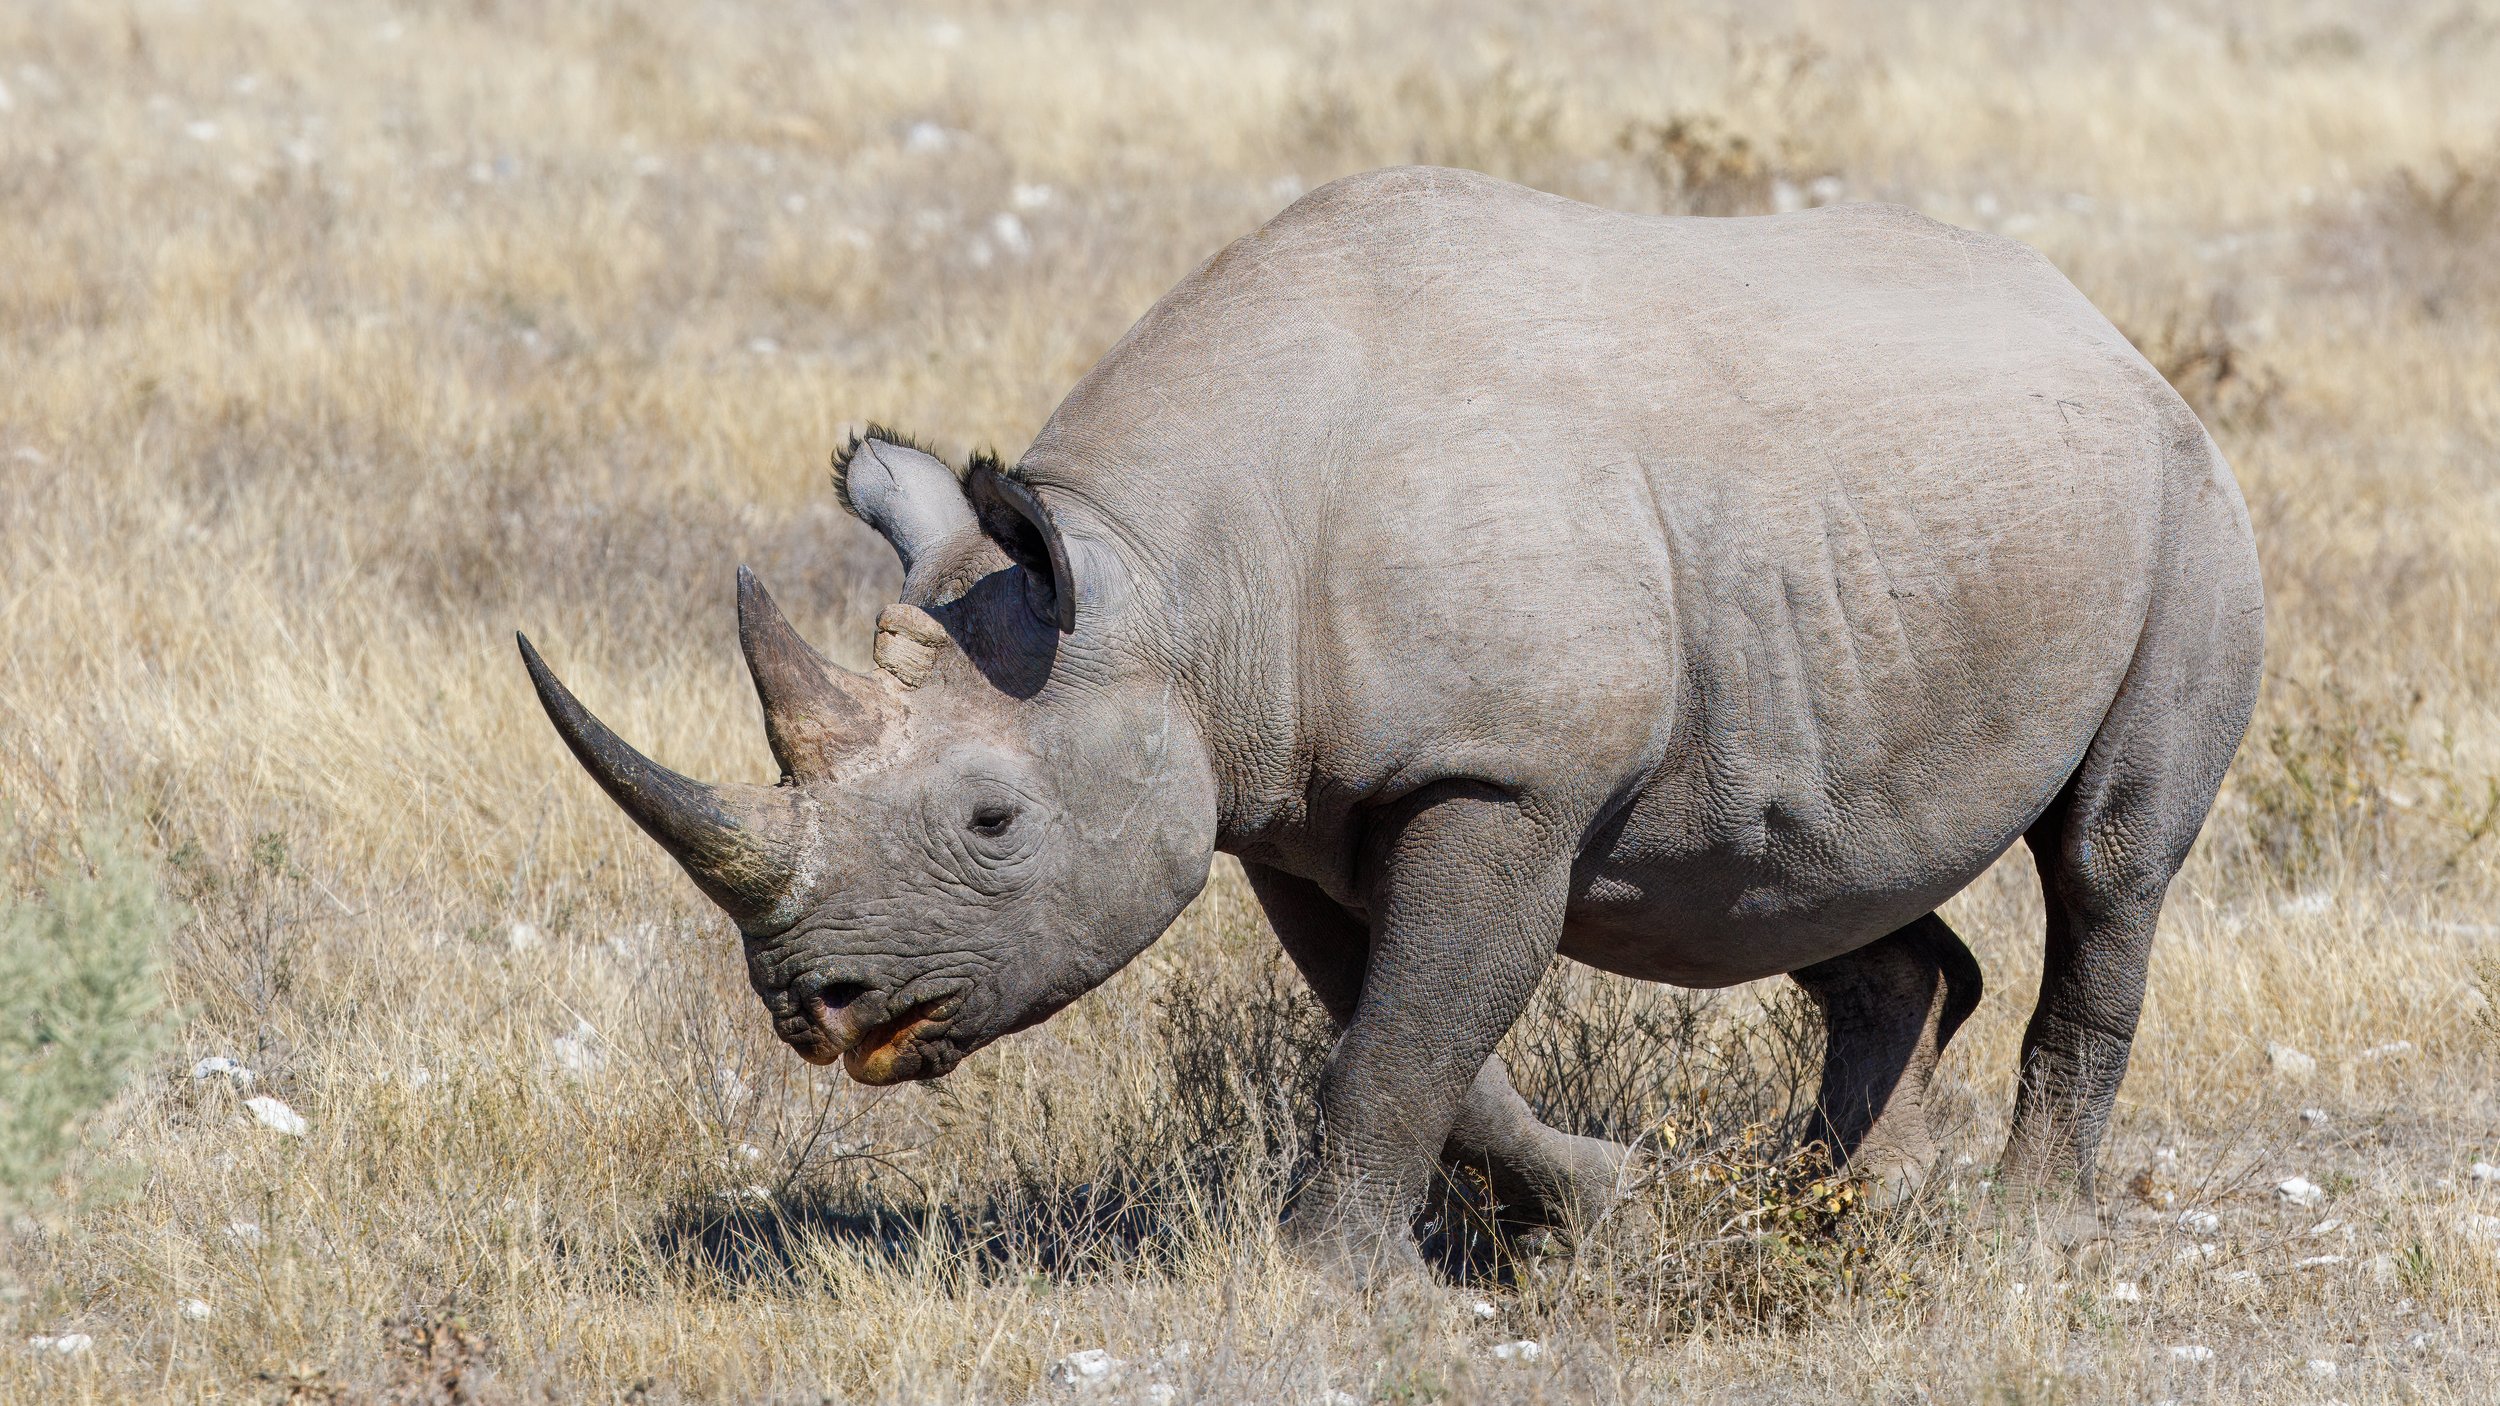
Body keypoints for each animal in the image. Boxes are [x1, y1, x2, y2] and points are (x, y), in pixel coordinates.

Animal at [519, 167, 2264, 1271]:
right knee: (1795, 871)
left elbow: (1408, 1032)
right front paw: (1612, 1210)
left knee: (2108, 862)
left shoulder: (1500, 775)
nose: (812, 1006)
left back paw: (2019, 1233)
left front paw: (1320, 1285)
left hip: (2185, 500)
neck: (1169, 580)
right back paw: (1783, 1199)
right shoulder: (1287, 799)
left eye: (992, 821)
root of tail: (2105, 329)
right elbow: (1404, 1029)